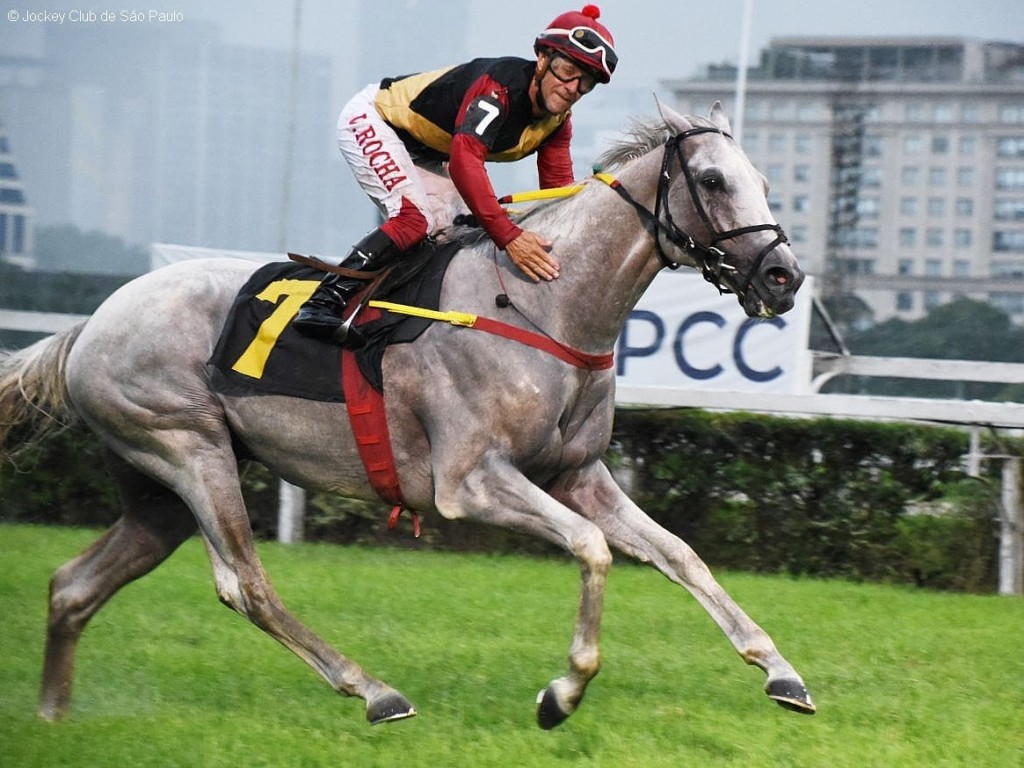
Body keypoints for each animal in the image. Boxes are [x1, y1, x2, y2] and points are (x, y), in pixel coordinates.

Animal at [0, 100, 815, 729]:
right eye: (711, 180)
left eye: (765, 182)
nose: (784, 276)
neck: (545, 303)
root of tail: (89, 326)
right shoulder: (471, 481)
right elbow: (593, 549)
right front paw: (562, 692)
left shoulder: (578, 473)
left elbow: (680, 553)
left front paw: (782, 672)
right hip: (188, 448)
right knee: (245, 585)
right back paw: (375, 692)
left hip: (158, 493)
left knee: (75, 585)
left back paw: (52, 716)